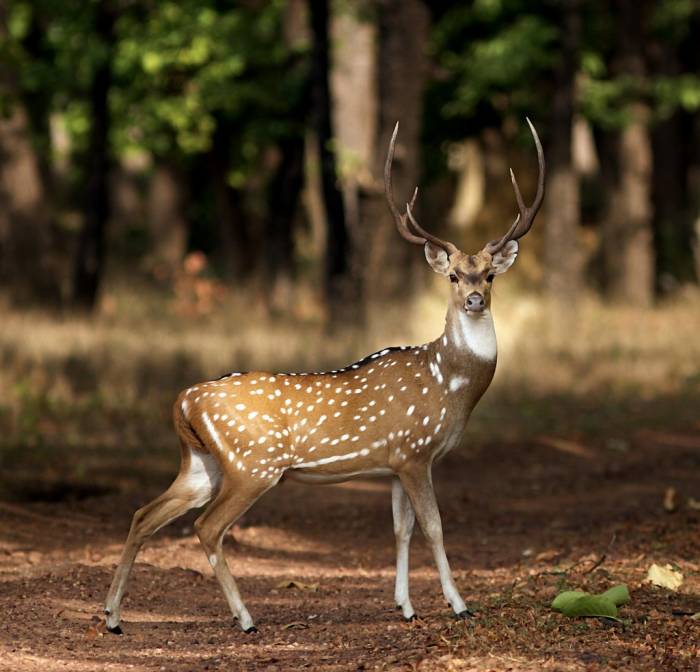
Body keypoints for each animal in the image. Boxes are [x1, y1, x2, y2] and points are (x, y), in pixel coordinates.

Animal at [104, 118, 544, 632]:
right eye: (453, 275)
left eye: (490, 275)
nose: (474, 299)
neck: (449, 384)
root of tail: (183, 401)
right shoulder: (416, 451)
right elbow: (434, 527)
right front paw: (458, 604)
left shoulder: (394, 461)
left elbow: (401, 529)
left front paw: (405, 606)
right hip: (253, 465)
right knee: (207, 527)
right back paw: (245, 618)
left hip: (201, 463)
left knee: (143, 513)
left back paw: (112, 615)